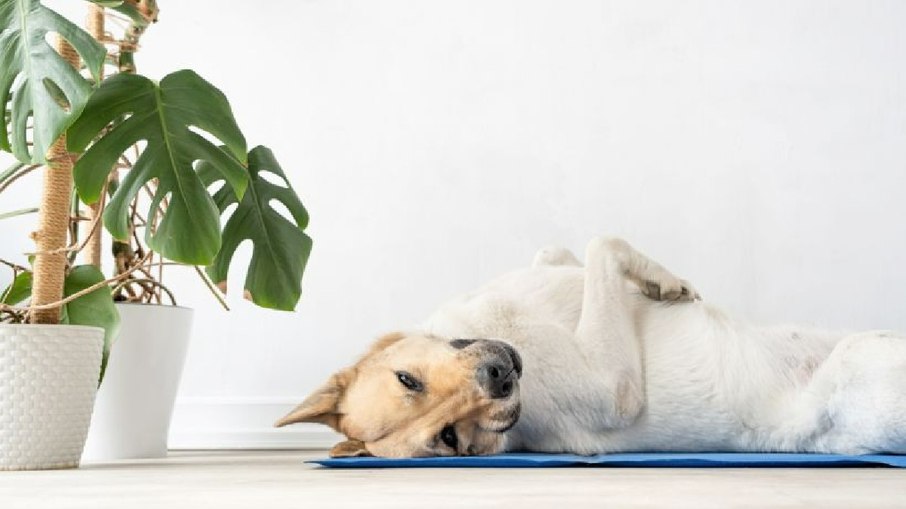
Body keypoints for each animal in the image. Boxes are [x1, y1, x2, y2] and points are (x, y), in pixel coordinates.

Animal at [274, 236, 904, 458]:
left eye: (408, 379)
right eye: (449, 439)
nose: (501, 376)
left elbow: (567, 253)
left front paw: (655, 283)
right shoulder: (613, 389)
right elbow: (605, 244)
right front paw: (665, 281)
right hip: (865, 354)